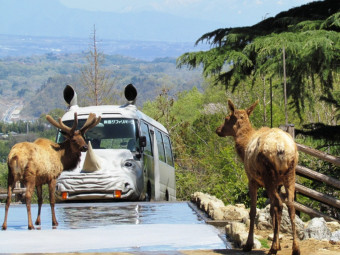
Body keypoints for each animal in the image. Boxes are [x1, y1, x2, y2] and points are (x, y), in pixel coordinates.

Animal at [216, 99, 298, 255]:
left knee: (279, 204)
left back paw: (273, 248)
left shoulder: (252, 180)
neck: (244, 148)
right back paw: (295, 248)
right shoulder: (278, 184)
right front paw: (278, 243)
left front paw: (248, 244)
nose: (218, 129)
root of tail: (281, 148)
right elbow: (272, 211)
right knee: (290, 205)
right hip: (290, 175)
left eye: (226, 118)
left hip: (268, 175)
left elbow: (253, 211)